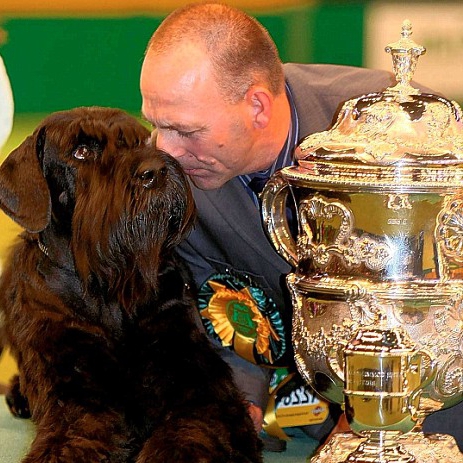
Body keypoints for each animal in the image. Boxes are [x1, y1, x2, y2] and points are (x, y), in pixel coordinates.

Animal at [0, 108, 262, 463]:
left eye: (139, 141)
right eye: (81, 151)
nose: (155, 171)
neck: (107, 288)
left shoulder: (196, 383)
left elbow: (189, 434)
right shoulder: (75, 398)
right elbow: (69, 443)